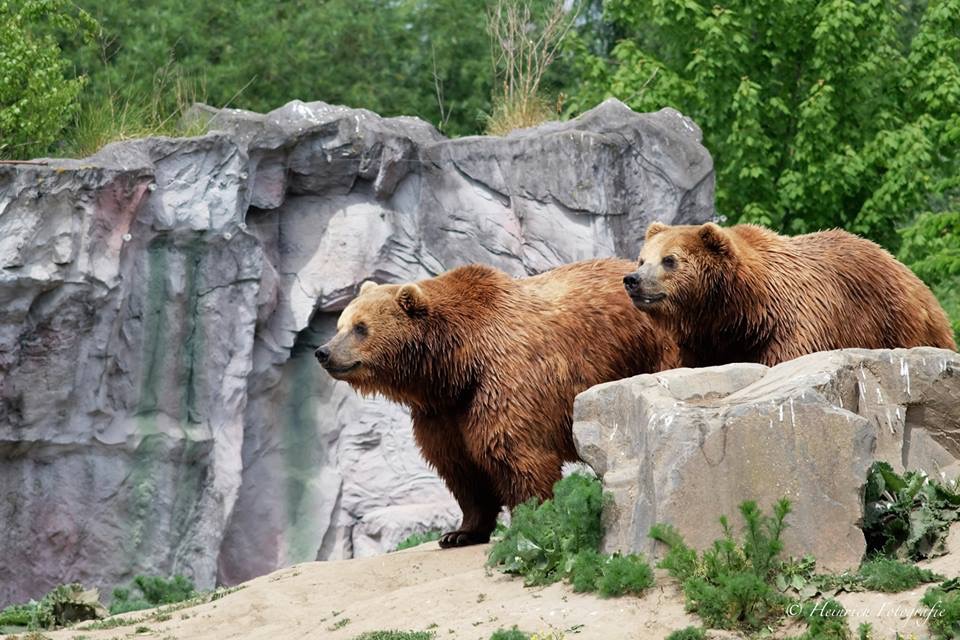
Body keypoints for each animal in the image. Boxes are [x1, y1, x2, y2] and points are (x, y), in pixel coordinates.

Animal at [624, 222, 952, 368]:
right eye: (642, 259)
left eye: (669, 260)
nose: (633, 280)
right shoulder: (702, 344)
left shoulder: (794, 326)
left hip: (897, 324)